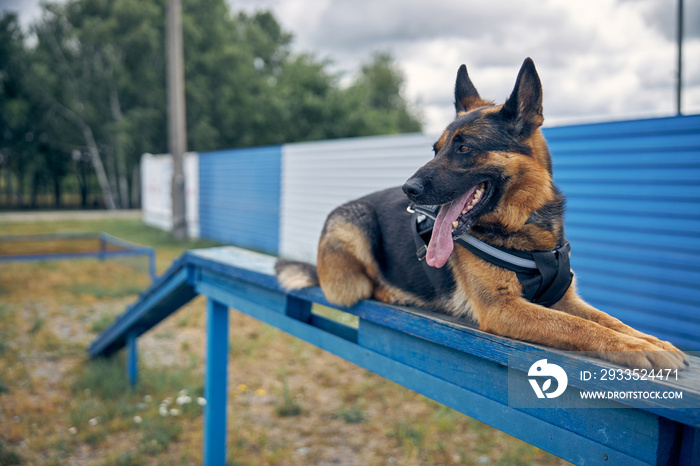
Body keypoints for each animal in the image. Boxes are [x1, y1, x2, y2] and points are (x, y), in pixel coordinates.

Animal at [274, 58, 688, 372]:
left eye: (464, 148)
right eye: (436, 149)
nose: (408, 189)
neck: (525, 225)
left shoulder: (564, 298)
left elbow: (609, 320)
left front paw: (651, 340)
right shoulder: (503, 310)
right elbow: (577, 327)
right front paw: (638, 348)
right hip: (355, 229)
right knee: (366, 284)